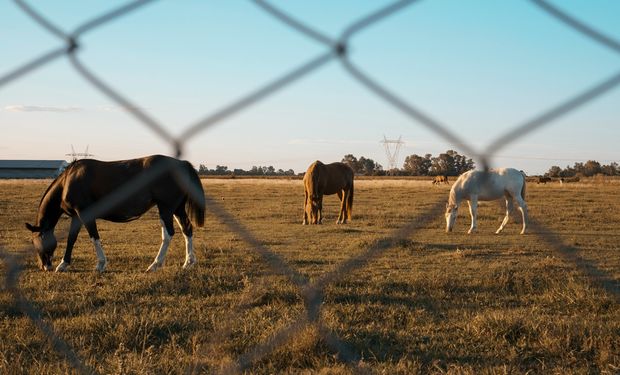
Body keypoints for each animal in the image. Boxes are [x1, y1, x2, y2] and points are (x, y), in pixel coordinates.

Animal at [24, 156, 206, 274]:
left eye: (34, 241)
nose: (44, 266)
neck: (68, 181)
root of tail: (182, 164)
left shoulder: (84, 213)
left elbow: (94, 237)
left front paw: (100, 264)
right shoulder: (76, 216)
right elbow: (71, 239)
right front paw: (63, 264)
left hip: (166, 208)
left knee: (168, 234)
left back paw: (155, 265)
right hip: (177, 209)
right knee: (187, 230)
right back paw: (188, 262)